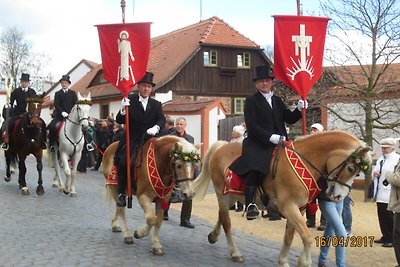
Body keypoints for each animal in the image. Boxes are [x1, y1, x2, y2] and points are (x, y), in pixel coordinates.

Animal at [194, 131, 372, 266]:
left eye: (358, 173)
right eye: (350, 168)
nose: (340, 196)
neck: (304, 162)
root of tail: (222, 146)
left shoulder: (298, 209)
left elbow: (290, 236)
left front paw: (284, 261)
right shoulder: (289, 207)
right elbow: (307, 236)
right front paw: (304, 262)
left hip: (232, 195)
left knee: (221, 215)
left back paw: (213, 236)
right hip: (222, 194)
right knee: (227, 222)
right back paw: (235, 253)